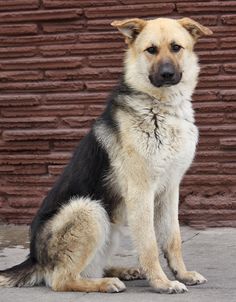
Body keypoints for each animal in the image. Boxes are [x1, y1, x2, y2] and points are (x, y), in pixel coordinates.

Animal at [0, 15, 213, 292]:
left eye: (176, 47)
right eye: (151, 50)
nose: (167, 74)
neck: (162, 107)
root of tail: (35, 258)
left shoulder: (170, 190)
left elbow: (172, 238)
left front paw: (182, 274)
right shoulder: (140, 192)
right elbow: (149, 244)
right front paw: (162, 282)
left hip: (110, 226)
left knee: (90, 268)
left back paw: (122, 271)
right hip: (88, 209)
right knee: (61, 279)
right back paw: (106, 283)